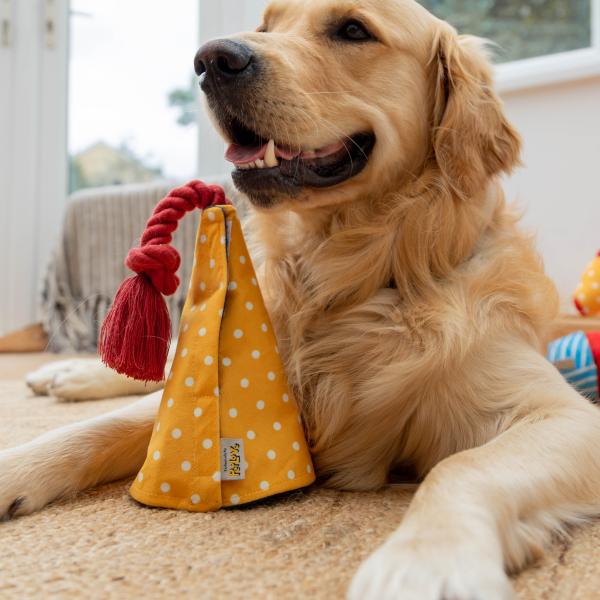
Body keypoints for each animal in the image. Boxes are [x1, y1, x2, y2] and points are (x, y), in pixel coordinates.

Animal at [1, 2, 600, 596]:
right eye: (266, 28)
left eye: (354, 30)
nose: (211, 60)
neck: (360, 280)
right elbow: (102, 427)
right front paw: (14, 465)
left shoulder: (565, 416)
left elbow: (459, 467)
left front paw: (426, 560)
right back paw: (67, 373)